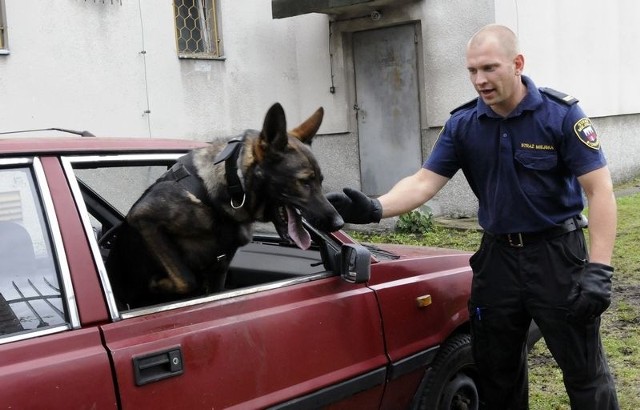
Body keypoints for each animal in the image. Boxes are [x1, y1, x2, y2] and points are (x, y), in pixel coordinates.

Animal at [105, 104, 344, 310]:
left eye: (320, 181)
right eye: (304, 182)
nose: (339, 223)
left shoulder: (220, 269)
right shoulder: (144, 217)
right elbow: (187, 279)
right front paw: (157, 285)